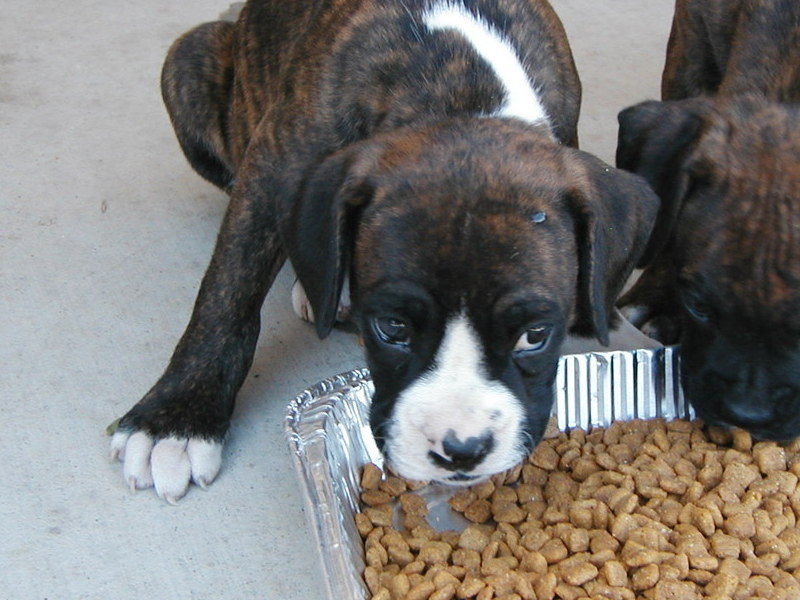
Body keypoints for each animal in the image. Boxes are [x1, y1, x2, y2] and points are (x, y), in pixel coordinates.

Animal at [114, 0, 664, 502]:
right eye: (392, 328)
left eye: (535, 336)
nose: (460, 450)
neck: (461, 85)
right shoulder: (274, 169)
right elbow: (229, 289)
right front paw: (175, 421)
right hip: (192, 57)